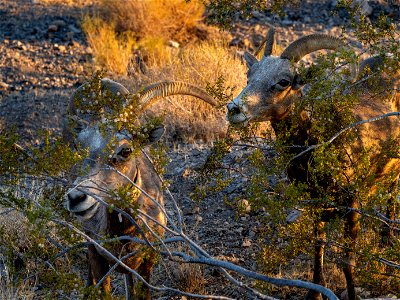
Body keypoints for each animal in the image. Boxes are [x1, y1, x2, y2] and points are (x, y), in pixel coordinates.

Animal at [227, 29, 398, 300]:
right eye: (249, 75)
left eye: (283, 81)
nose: (234, 109)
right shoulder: (315, 204)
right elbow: (318, 250)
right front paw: (315, 293)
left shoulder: (352, 205)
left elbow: (347, 262)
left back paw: (386, 240)